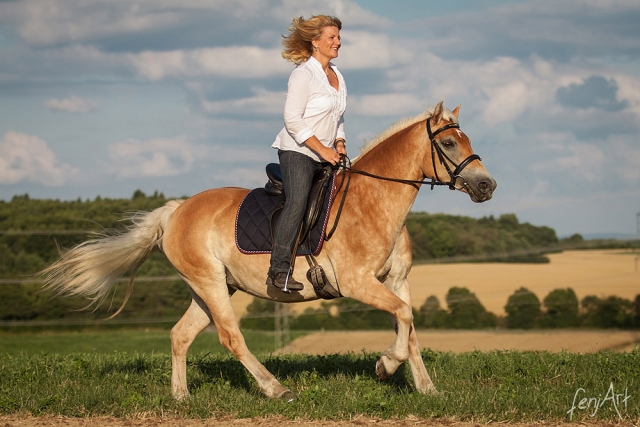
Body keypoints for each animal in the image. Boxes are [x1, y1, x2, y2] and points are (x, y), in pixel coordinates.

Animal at [40, 102, 498, 402]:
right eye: (449, 144)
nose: (486, 185)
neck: (374, 201)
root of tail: (176, 210)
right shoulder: (357, 284)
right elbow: (404, 319)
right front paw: (385, 367)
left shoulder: (395, 281)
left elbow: (411, 326)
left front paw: (427, 389)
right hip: (211, 285)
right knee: (231, 337)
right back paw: (276, 389)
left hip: (210, 288)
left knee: (180, 335)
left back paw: (181, 398)